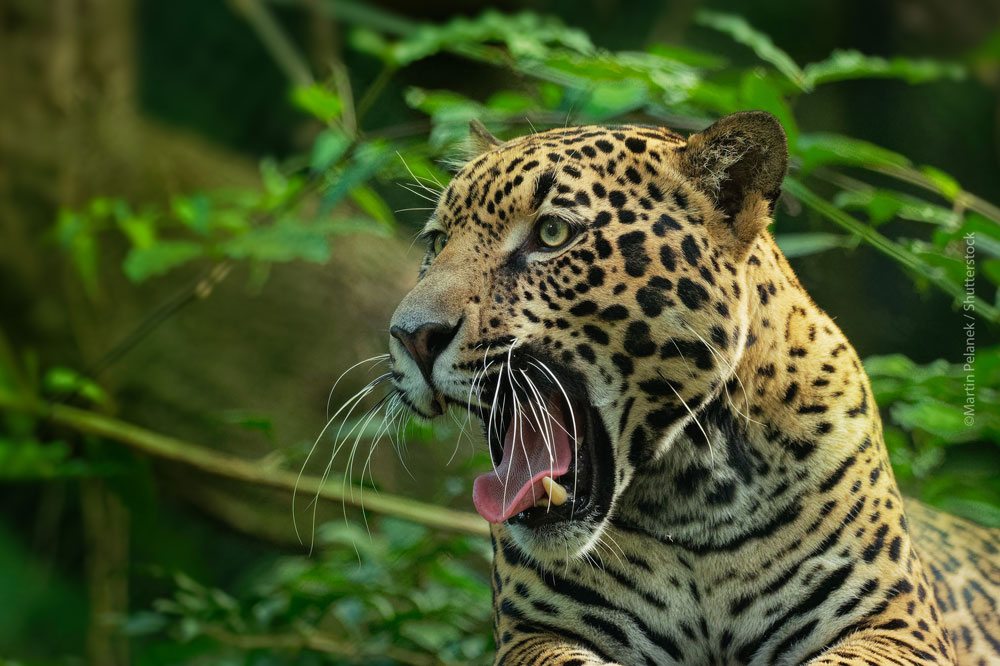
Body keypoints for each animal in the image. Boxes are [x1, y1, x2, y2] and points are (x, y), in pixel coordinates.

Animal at [381, 111, 1000, 665]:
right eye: (437, 242)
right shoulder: (534, 635)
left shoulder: (895, 624)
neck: (693, 495)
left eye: (552, 233)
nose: (410, 335)